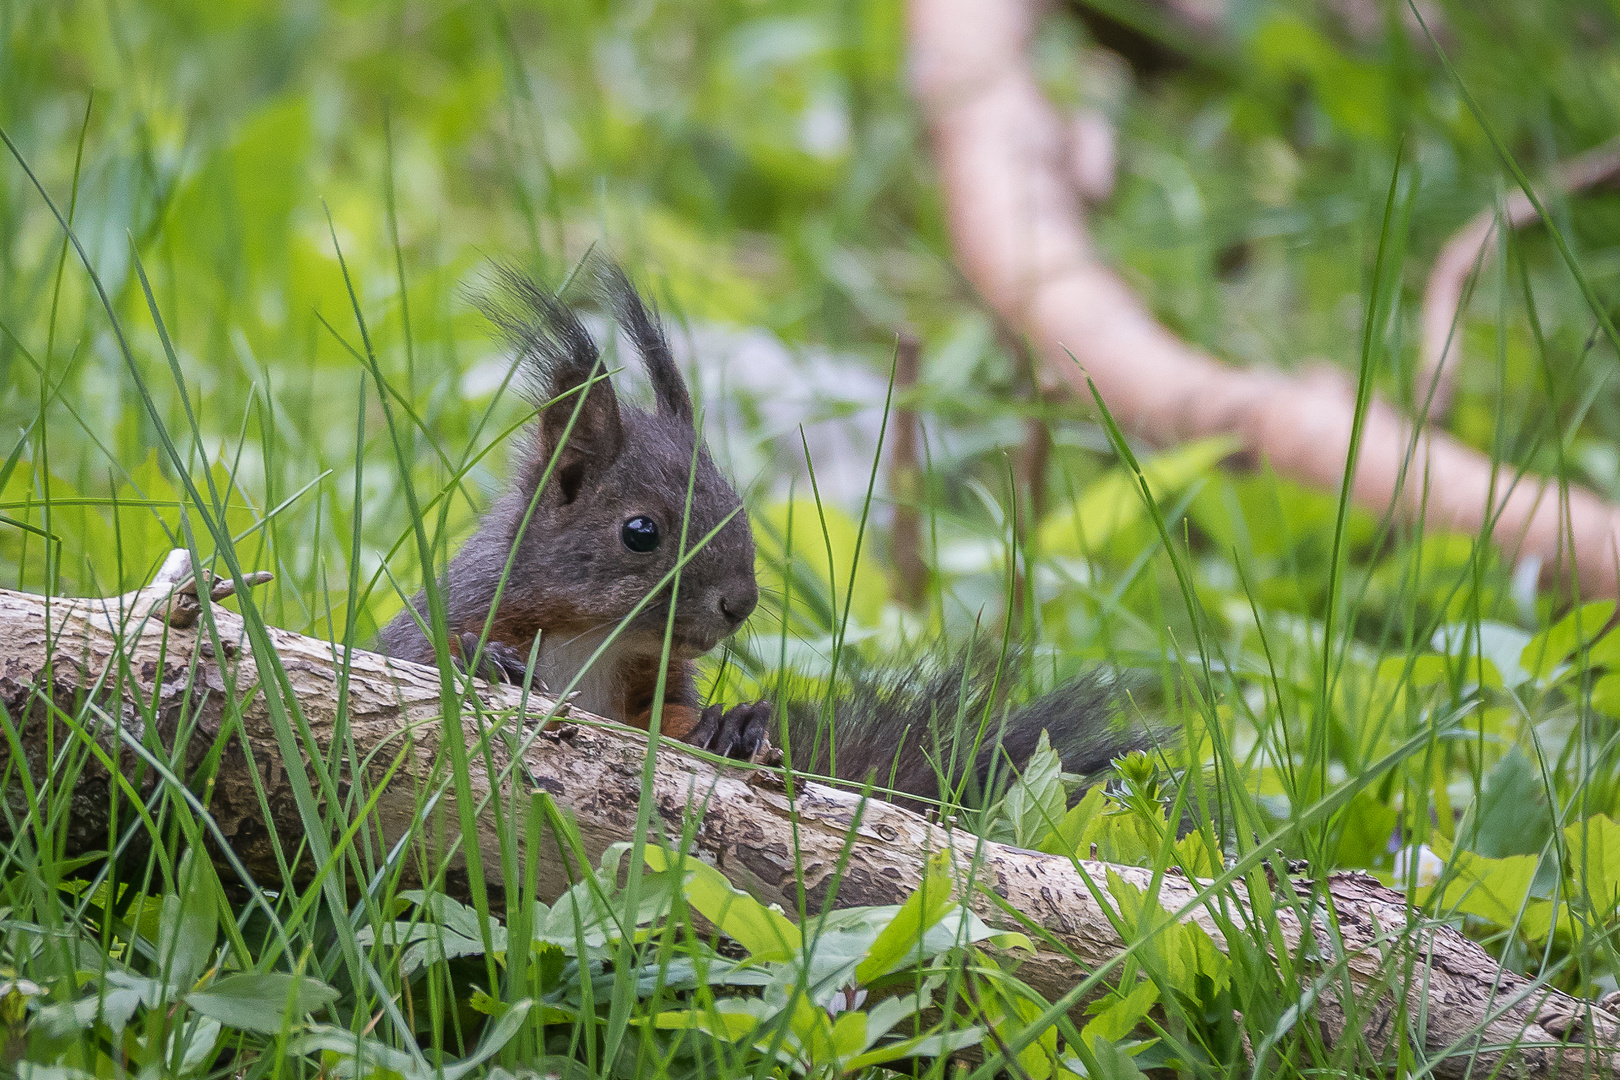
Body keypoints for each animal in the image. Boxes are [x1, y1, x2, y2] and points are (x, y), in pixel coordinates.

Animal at [375, 265, 1153, 806]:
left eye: (739, 510)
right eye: (639, 531)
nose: (739, 603)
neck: (592, 636)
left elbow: (667, 718)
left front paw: (731, 726)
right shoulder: (458, 610)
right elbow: (418, 655)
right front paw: (485, 662)